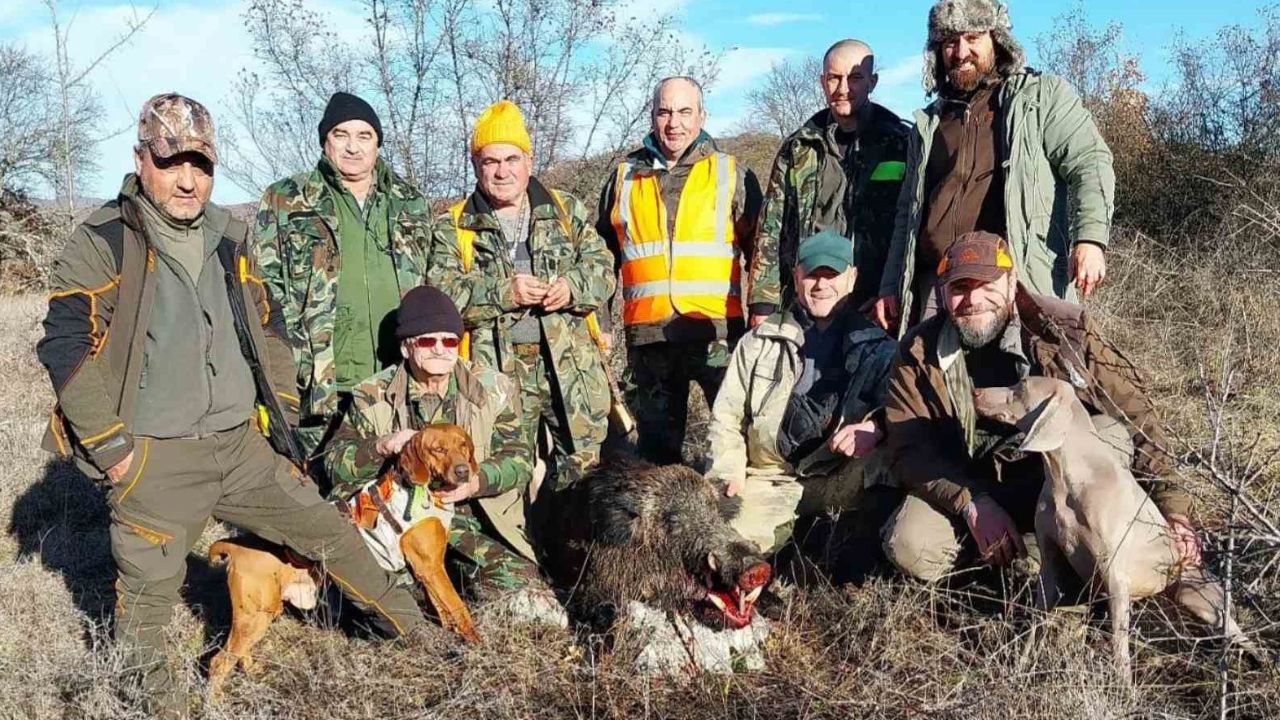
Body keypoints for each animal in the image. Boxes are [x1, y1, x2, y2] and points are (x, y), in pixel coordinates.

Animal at [207, 424, 480, 698]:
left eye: (463, 445)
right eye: (438, 449)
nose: (463, 471)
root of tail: (234, 545)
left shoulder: (430, 569)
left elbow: (444, 612)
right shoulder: (430, 568)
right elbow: (459, 608)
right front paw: (477, 644)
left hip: (261, 614)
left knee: (239, 654)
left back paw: (253, 673)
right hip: (255, 615)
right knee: (219, 661)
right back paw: (216, 700)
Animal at [973, 377, 1259, 678]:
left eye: (1022, 386)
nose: (975, 392)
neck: (1063, 480)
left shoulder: (1114, 577)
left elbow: (1119, 648)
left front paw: (1122, 686)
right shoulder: (1050, 565)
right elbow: (1036, 622)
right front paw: (1021, 665)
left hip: (1202, 598)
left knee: (1240, 635)